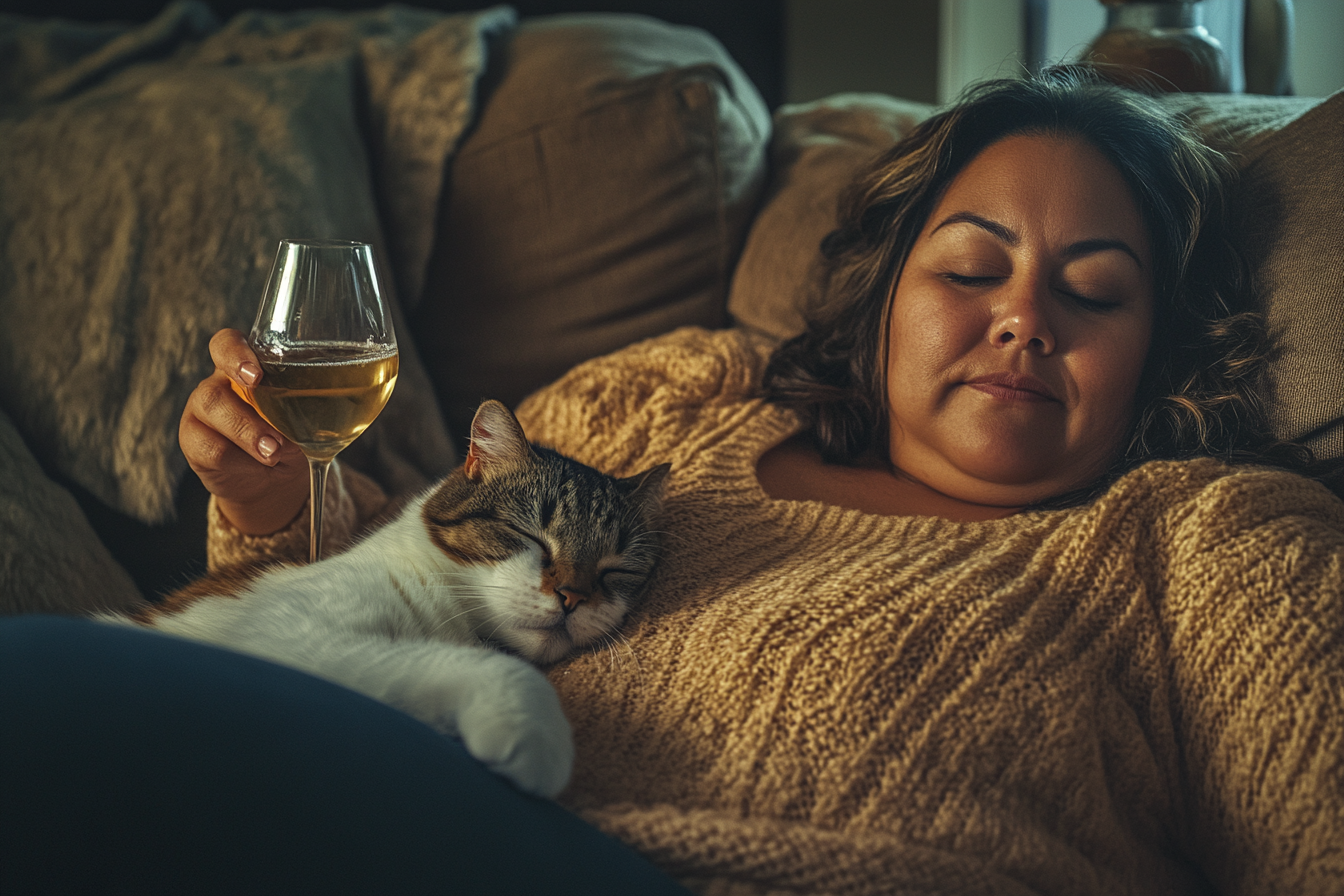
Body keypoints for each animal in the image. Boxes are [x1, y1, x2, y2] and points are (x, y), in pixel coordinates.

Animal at [102, 400, 669, 800]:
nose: (573, 597)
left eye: (617, 570)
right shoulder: (292, 635)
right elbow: (485, 667)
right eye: (529, 535)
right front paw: (535, 740)